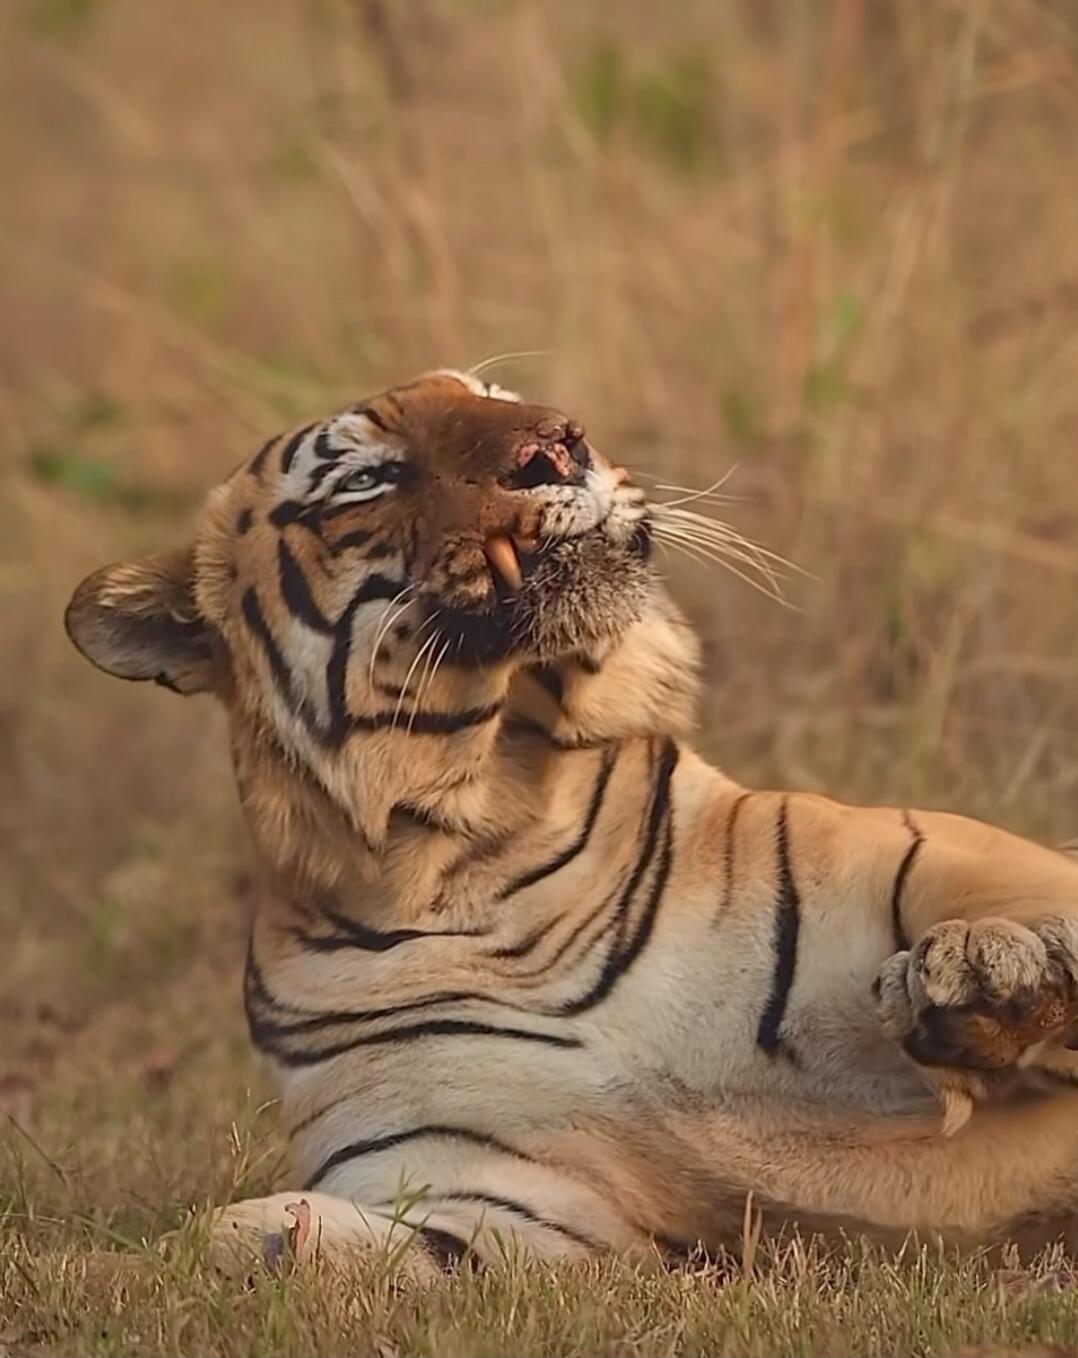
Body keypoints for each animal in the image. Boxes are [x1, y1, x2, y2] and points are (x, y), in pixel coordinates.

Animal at [66, 368, 1078, 1275]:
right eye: (366, 478)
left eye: (495, 397)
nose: (556, 444)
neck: (478, 852)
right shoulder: (493, 1192)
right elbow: (275, 1243)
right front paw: (245, 1238)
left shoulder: (912, 862)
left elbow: (1022, 905)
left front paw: (980, 973)